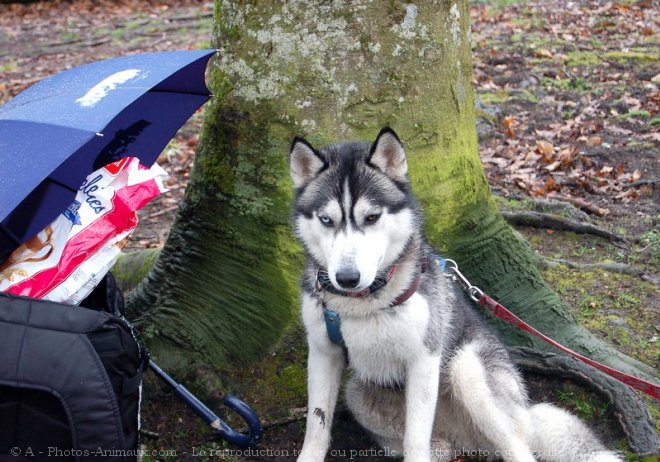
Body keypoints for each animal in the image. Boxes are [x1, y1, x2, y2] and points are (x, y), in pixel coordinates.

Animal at [288, 127, 620, 462]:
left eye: (371, 217)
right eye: (326, 219)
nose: (347, 278)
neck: (361, 303)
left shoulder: (424, 359)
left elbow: (415, 439)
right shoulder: (323, 354)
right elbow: (316, 424)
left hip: (469, 370)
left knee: (518, 447)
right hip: (358, 394)